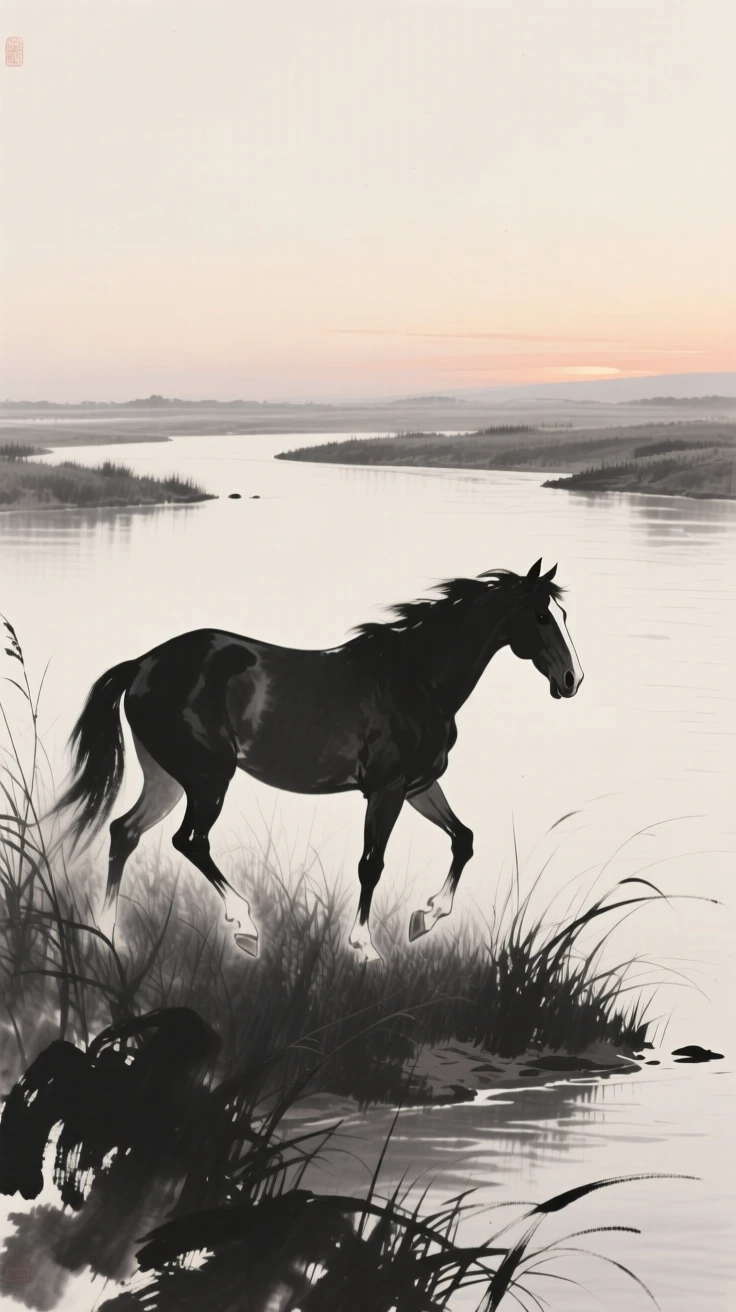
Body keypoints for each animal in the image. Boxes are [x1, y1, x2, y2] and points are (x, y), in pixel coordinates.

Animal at [56, 558, 583, 964]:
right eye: (541, 616)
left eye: (561, 613)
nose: (572, 679)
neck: (415, 680)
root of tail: (142, 664)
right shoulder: (386, 790)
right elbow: (372, 864)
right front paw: (366, 948)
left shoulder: (418, 787)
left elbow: (464, 840)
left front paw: (425, 918)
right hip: (208, 779)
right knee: (189, 841)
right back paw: (245, 928)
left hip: (167, 779)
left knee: (124, 832)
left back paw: (109, 938)